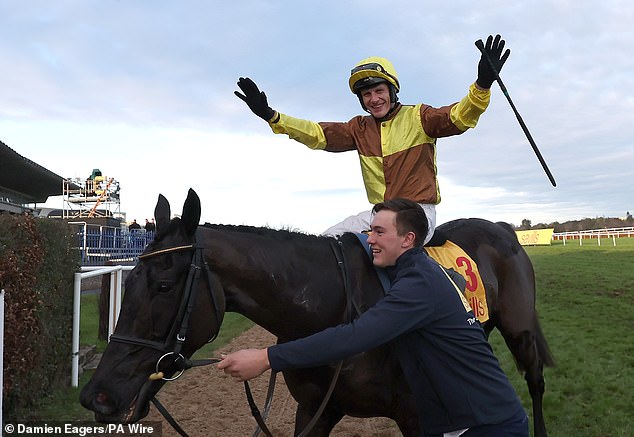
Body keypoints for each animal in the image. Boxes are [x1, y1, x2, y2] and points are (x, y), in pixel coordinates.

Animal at [80, 189, 552, 436]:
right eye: (129, 282)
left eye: (163, 286)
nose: (97, 396)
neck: (334, 310)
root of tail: (501, 227)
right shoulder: (315, 411)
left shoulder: (418, 417)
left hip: (520, 332)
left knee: (535, 382)